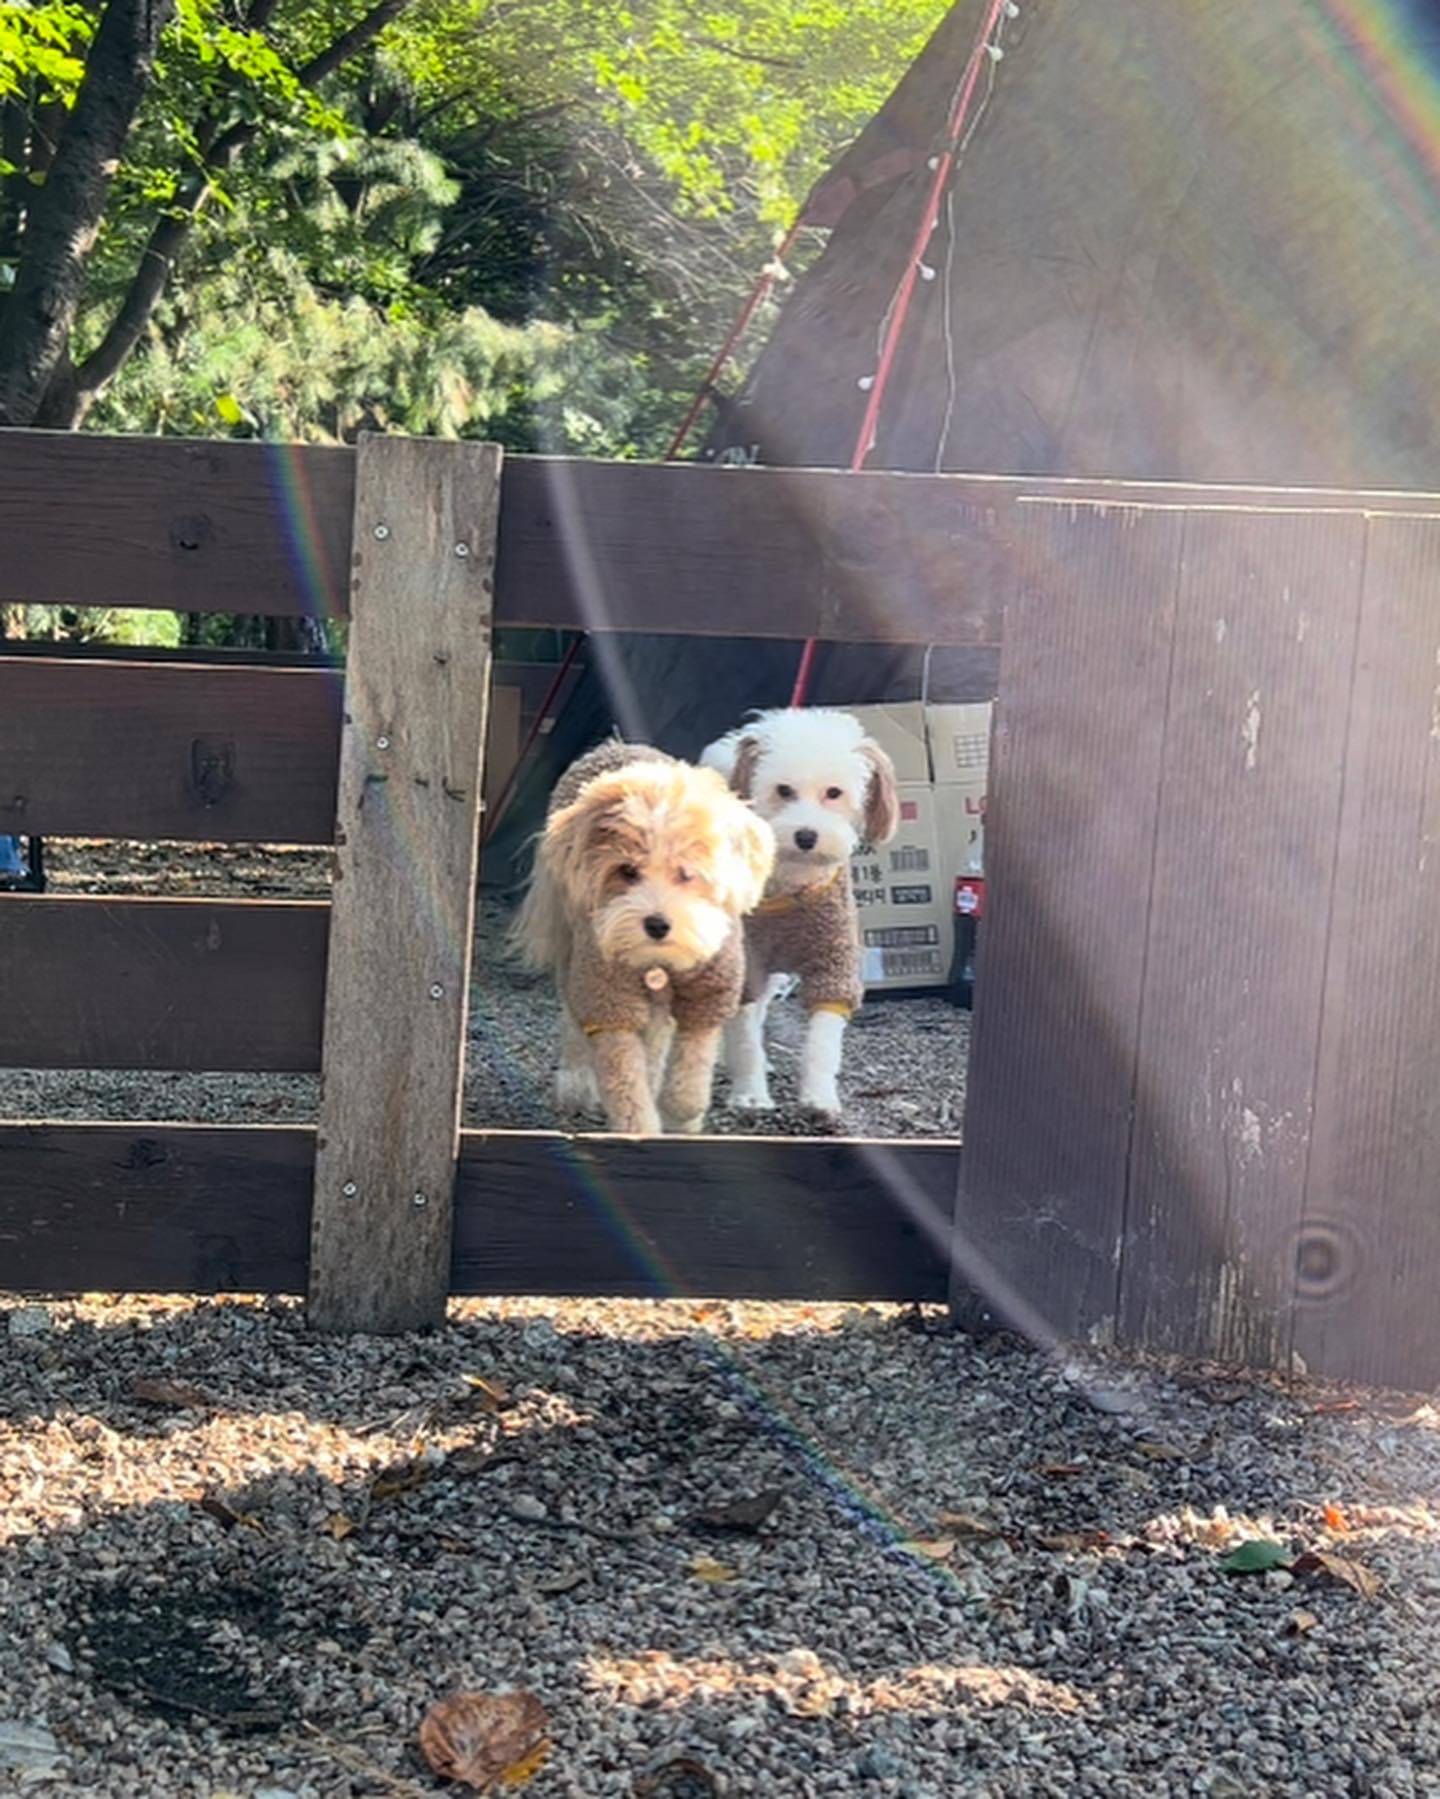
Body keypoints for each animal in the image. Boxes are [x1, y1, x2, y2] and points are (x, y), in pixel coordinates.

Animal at [507, 737, 770, 1129]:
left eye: (687, 872)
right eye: (627, 871)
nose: (657, 924)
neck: (657, 963)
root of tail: (612, 745)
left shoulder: (709, 994)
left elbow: (689, 1079)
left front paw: (682, 1116)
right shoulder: (609, 999)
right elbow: (627, 1089)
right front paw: (641, 1127)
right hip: (573, 950)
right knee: (573, 1019)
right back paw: (575, 1084)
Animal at [702, 708, 892, 1115]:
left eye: (834, 793)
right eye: (783, 790)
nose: (806, 836)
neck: (790, 886)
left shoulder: (834, 960)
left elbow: (823, 1040)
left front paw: (819, 1097)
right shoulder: (748, 963)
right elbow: (744, 1035)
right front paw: (750, 1094)